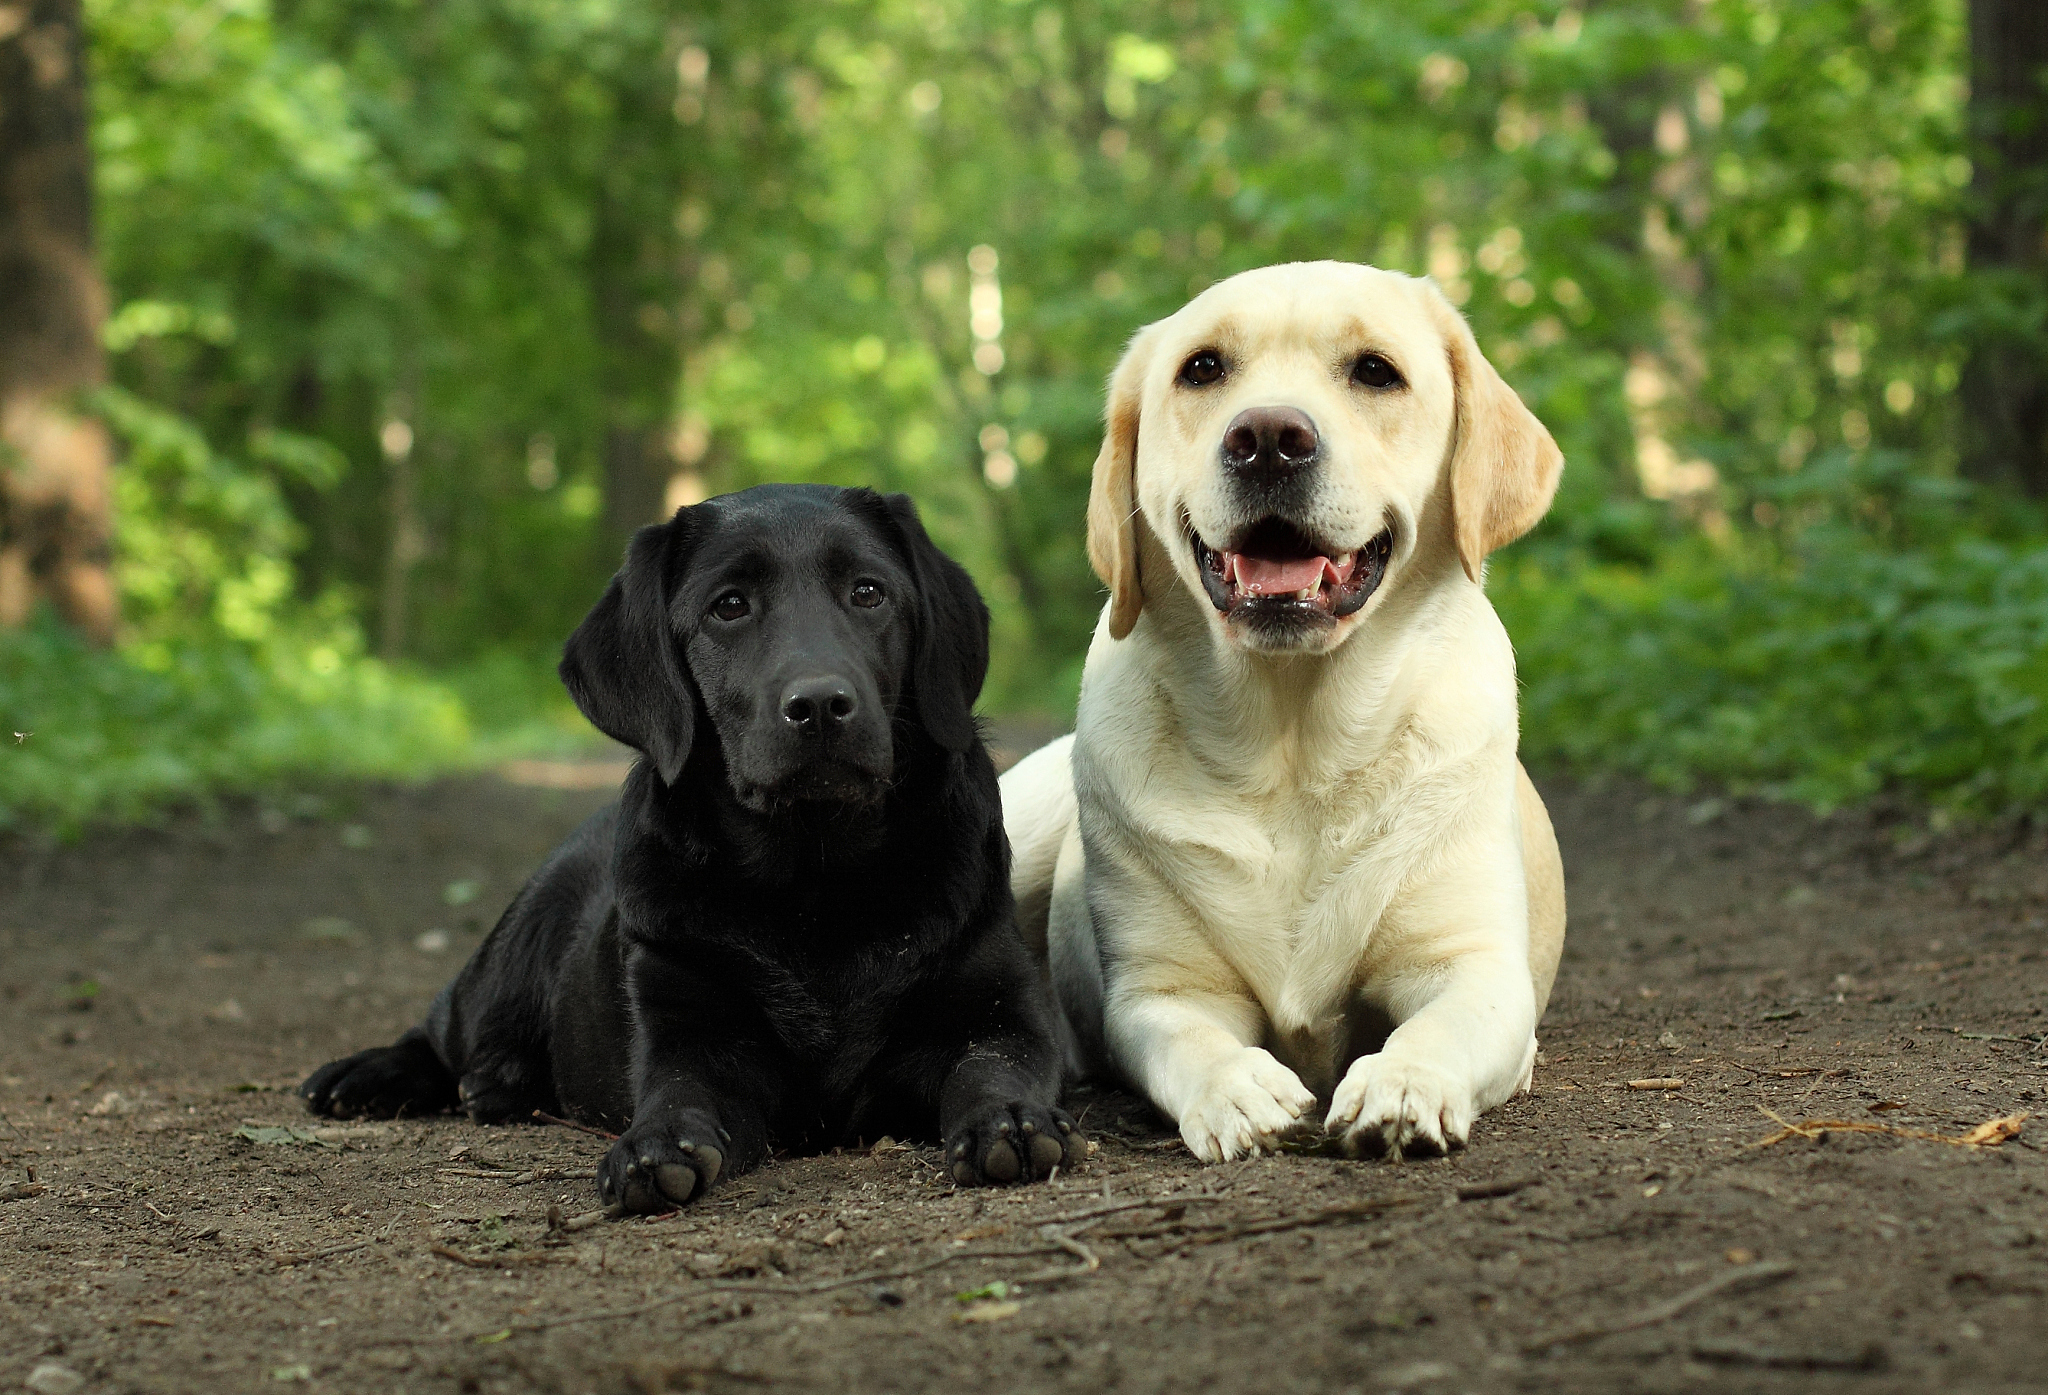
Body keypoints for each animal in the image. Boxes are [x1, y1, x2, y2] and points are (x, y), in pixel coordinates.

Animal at [301, 481, 1081, 1204]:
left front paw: (1008, 1121)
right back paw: (368, 1075)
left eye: (868, 592)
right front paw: (654, 1147)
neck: (814, 879)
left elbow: (989, 1067)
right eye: (728, 606)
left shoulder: (997, 1012)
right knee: (437, 1027)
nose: (820, 704)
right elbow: (681, 1092)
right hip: (510, 948)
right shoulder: (688, 1030)